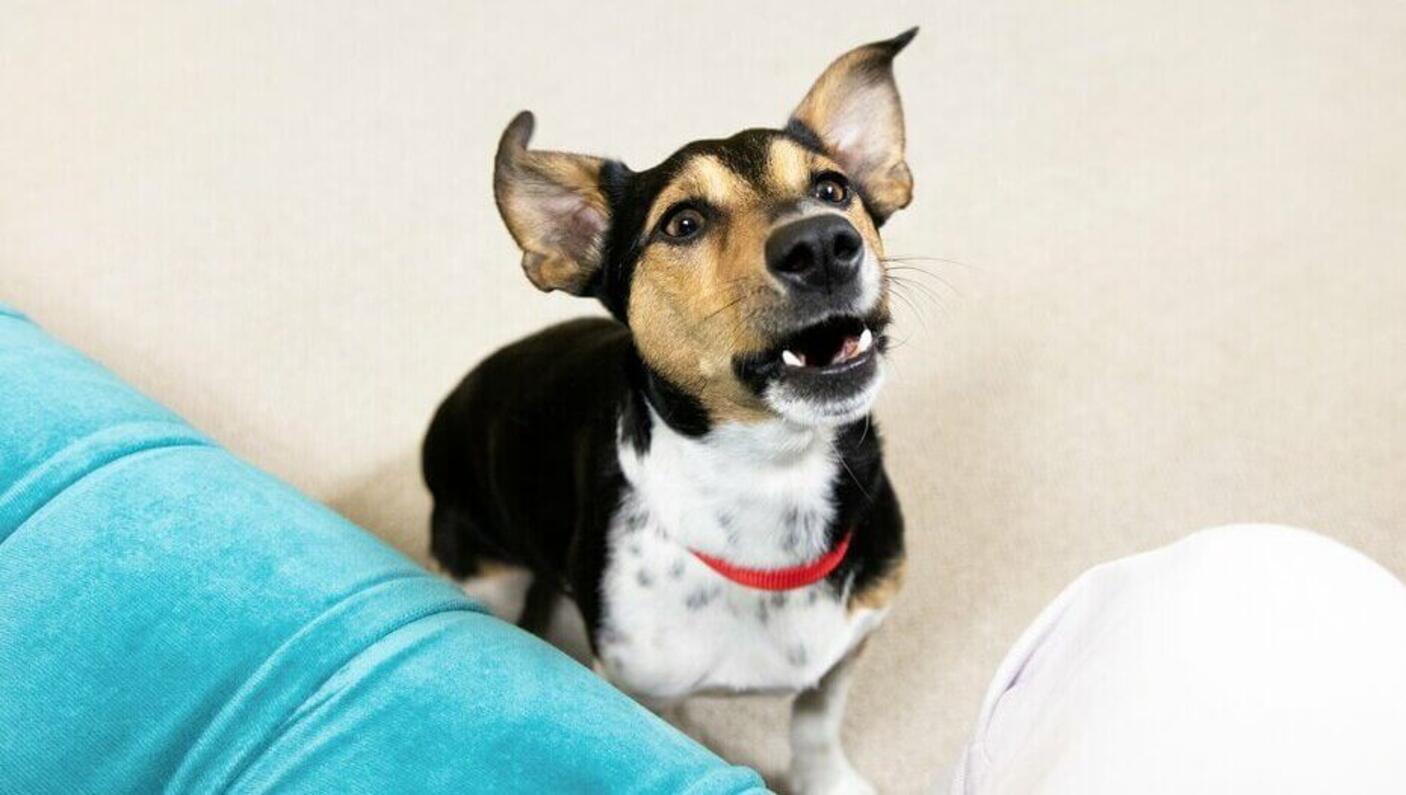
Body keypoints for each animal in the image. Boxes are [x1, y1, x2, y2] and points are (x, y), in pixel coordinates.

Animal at [421, 30, 916, 793]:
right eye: (683, 223)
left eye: (832, 189)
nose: (823, 243)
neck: (775, 477)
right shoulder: (640, 681)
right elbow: (670, 726)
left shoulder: (853, 637)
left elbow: (815, 722)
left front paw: (827, 779)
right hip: (486, 569)